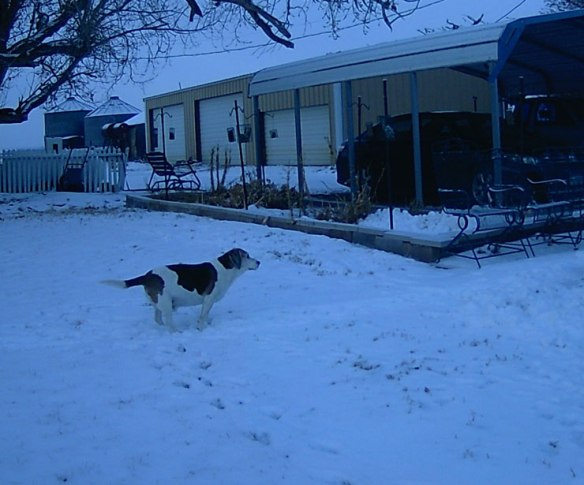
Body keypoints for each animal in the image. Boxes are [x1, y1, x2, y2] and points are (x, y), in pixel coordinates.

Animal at [103, 248, 260, 331]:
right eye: (247, 256)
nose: (259, 262)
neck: (225, 268)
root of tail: (147, 276)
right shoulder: (209, 299)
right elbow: (203, 316)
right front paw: (201, 328)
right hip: (166, 303)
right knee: (168, 322)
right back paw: (176, 332)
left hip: (159, 303)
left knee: (157, 319)